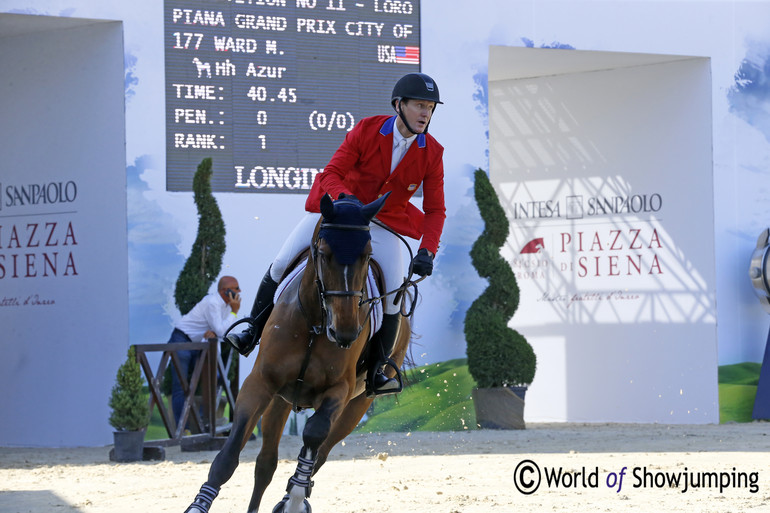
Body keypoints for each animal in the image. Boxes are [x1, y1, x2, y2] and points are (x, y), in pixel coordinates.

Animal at [184, 192, 412, 512]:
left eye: (368, 255)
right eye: (324, 252)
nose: (345, 333)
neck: (315, 323)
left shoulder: (339, 391)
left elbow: (313, 435)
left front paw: (294, 497)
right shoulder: (260, 382)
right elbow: (230, 454)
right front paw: (198, 505)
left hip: (356, 405)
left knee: (320, 451)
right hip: (279, 401)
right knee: (265, 464)